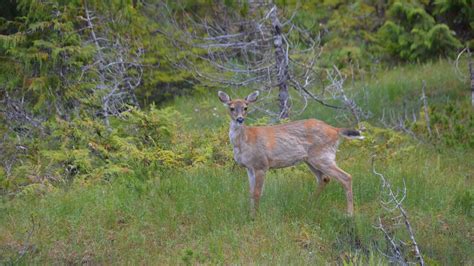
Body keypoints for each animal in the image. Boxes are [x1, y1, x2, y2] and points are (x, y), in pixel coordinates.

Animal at [218, 90, 362, 217]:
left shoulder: (261, 164)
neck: (245, 140)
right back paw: (308, 204)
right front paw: (250, 213)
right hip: (311, 160)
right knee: (324, 178)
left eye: (245, 107)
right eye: (231, 108)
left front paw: (255, 217)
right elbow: (251, 192)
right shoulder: (249, 167)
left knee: (346, 177)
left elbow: (257, 192)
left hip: (323, 156)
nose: (240, 119)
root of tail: (335, 130)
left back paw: (349, 214)